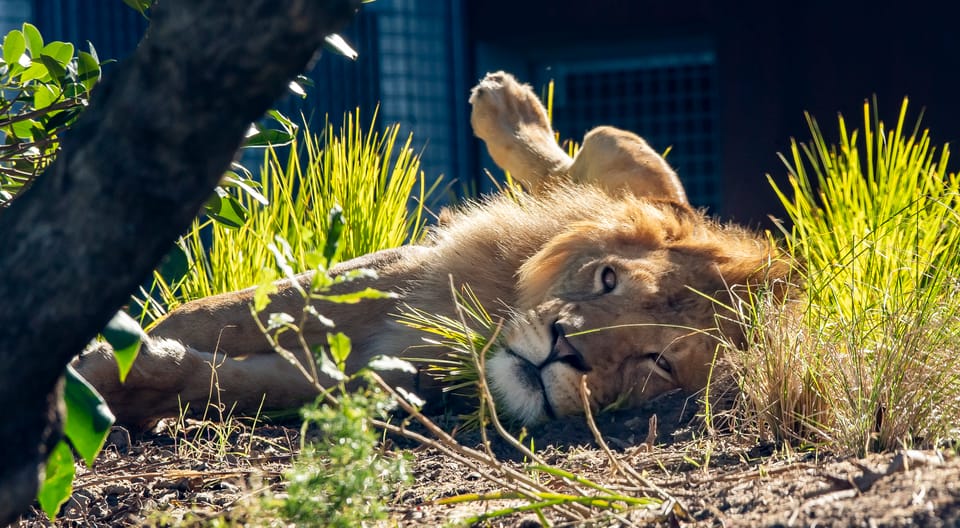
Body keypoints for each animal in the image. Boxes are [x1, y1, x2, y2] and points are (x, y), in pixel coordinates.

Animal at [69, 71, 788, 428]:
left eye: (657, 362)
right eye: (607, 279)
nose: (563, 350)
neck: (483, 332)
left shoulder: (370, 366)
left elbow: (222, 379)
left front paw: (117, 383)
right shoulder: (404, 272)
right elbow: (217, 314)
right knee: (604, 157)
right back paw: (504, 102)